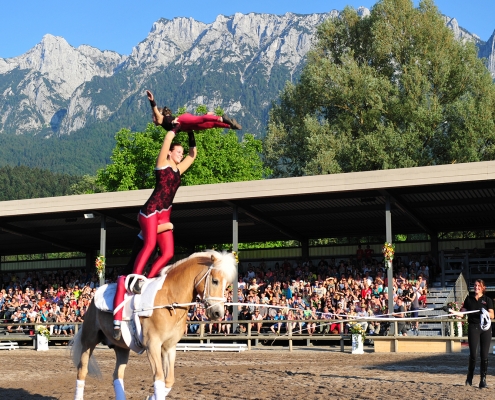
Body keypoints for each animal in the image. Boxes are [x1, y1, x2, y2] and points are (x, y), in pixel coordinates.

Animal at [70, 250, 238, 400]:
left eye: (227, 285)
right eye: (215, 281)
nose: (218, 313)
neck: (169, 299)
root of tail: (93, 299)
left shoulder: (169, 347)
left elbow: (168, 380)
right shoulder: (152, 345)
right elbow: (159, 378)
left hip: (122, 348)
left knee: (117, 375)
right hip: (89, 341)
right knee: (82, 371)